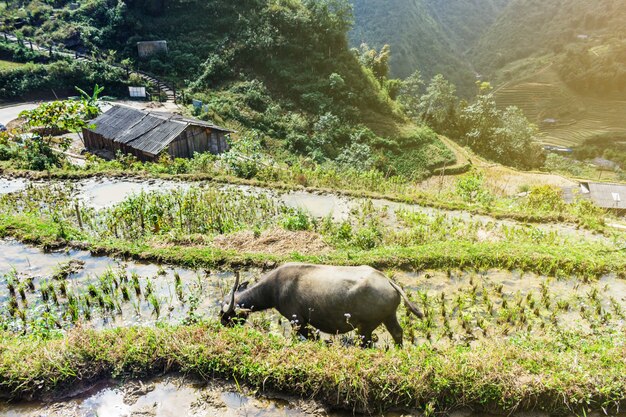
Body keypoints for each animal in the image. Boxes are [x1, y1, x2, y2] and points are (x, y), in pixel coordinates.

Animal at [217, 262, 422, 346]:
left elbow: (310, 337)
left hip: (366, 326)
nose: (222, 325)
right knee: (397, 333)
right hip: (389, 317)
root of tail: (388, 281)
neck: (274, 288)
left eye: (226, 314)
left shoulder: (298, 321)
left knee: (366, 341)